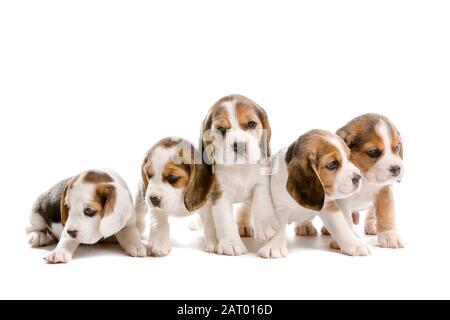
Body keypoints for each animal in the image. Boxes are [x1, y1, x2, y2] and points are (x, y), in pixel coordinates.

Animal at [200, 94, 278, 256]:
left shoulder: (261, 182)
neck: (240, 167)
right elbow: (225, 220)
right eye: (221, 129)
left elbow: (261, 202)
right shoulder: (221, 194)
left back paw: (243, 225)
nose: (240, 145)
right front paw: (231, 244)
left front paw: (265, 226)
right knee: (208, 221)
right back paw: (212, 241)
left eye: (251, 124)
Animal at [258, 129, 370, 258]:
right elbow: (277, 228)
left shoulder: (328, 206)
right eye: (333, 164)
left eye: (348, 157)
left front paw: (356, 244)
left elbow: (341, 227)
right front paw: (274, 247)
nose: (358, 177)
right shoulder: (278, 208)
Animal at [298, 114, 408, 249]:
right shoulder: (342, 199)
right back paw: (304, 225)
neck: (365, 178)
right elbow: (344, 219)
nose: (396, 169)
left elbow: (386, 212)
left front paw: (390, 235)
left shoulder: (384, 190)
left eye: (397, 146)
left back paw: (372, 225)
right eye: (374, 152)